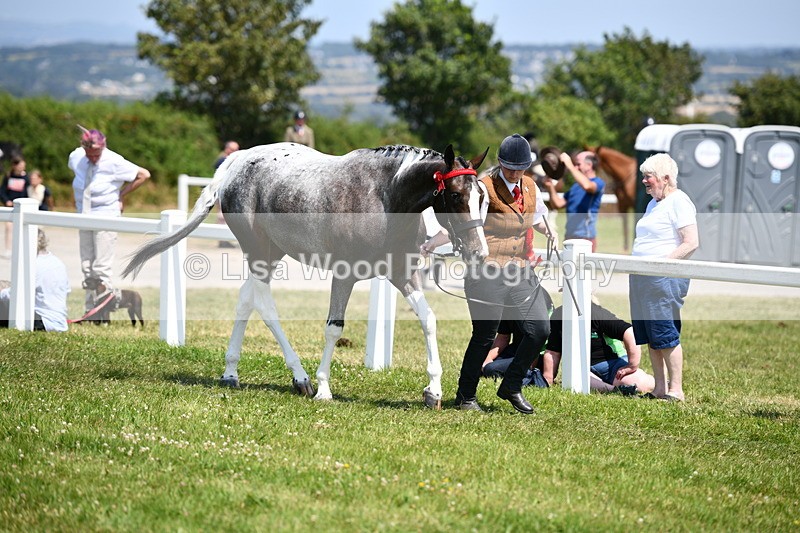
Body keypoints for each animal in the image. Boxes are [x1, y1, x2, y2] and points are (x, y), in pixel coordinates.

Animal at [123, 142, 489, 409]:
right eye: (455, 195)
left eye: (482, 197)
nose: (479, 252)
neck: (385, 196)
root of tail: (238, 161)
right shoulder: (344, 275)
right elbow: (333, 328)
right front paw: (325, 388)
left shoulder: (402, 274)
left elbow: (429, 320)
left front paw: (433, 391)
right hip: (257, 251)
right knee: (265, 307)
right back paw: (301, 379)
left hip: (271, 254)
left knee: (245, 302)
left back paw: (230, 372)